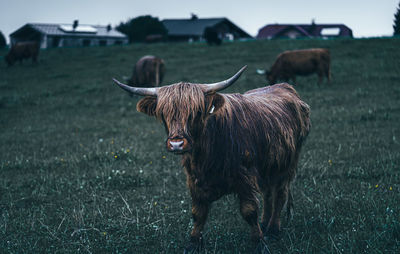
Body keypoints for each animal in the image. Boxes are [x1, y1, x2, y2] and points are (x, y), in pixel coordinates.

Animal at [112, 66, 310, 253]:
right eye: (163, 113)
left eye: (197, 112)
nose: (176, 144)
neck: (207, 154)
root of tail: (283, 86)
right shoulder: (194, 180)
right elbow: (198, 213)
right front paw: (192, 244)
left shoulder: (246, 178)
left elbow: (249, 211)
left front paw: (259, 244)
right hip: (268, 167)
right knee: (268, 194)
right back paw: (265, 224)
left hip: (288, 164)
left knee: (280, 194)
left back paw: (273, 229)